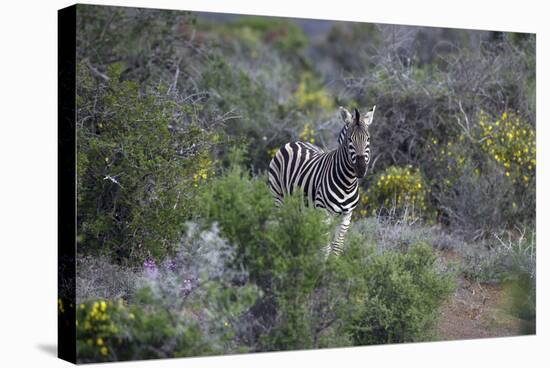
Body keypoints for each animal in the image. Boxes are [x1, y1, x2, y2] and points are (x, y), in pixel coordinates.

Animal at [270, 105, 378, 256]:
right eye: (349, 139)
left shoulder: (347, 215)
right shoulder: (323, 213)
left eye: (368, 138)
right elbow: (325, 248)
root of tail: (293, 142)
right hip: (278, 198)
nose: (361, 168)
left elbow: (337, 246)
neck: (348, 183)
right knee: (280, 226)